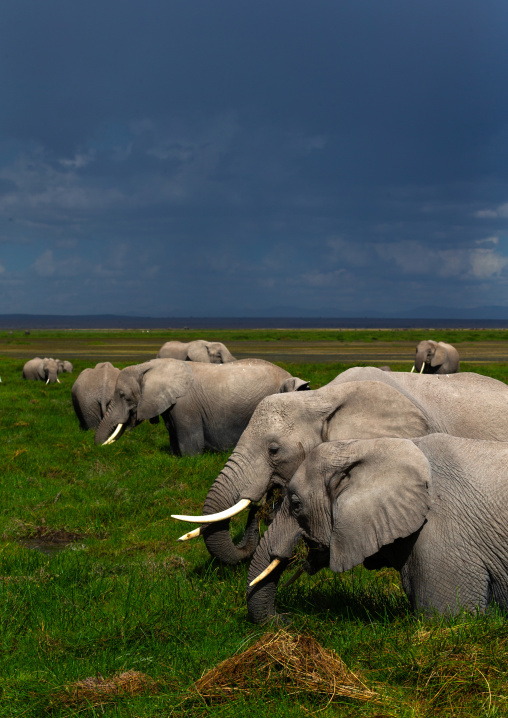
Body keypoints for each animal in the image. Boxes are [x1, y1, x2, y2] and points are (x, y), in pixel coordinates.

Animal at [95, 358, 310, 455]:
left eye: (123, 396)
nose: (97, 448)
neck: (149, 366)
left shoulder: (186, 405)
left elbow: (191, 445)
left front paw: (189, 459)